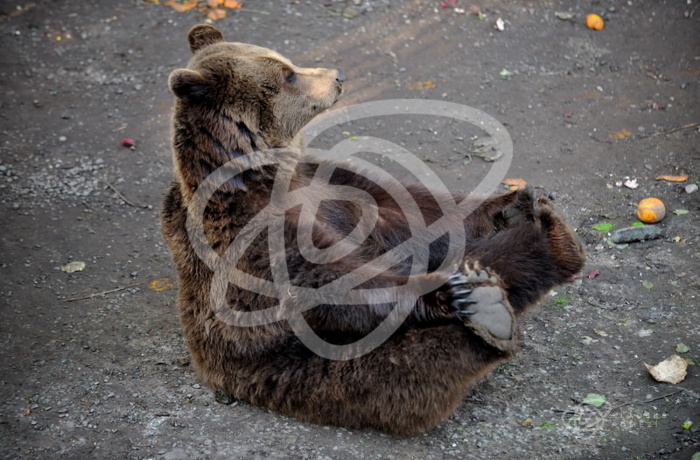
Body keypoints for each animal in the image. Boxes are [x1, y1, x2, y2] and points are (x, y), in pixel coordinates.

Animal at [160, 24, 584, 434]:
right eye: (288, 75)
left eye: (288, 63)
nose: (337, 76)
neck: (265, 170)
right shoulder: (244, 228)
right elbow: (321, 280)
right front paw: (444, 292)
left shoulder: (336, 186)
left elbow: (416, 212)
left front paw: (514, 201)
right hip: (298, 367)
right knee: (410, 366)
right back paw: (489, 308)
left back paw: (550, 235)